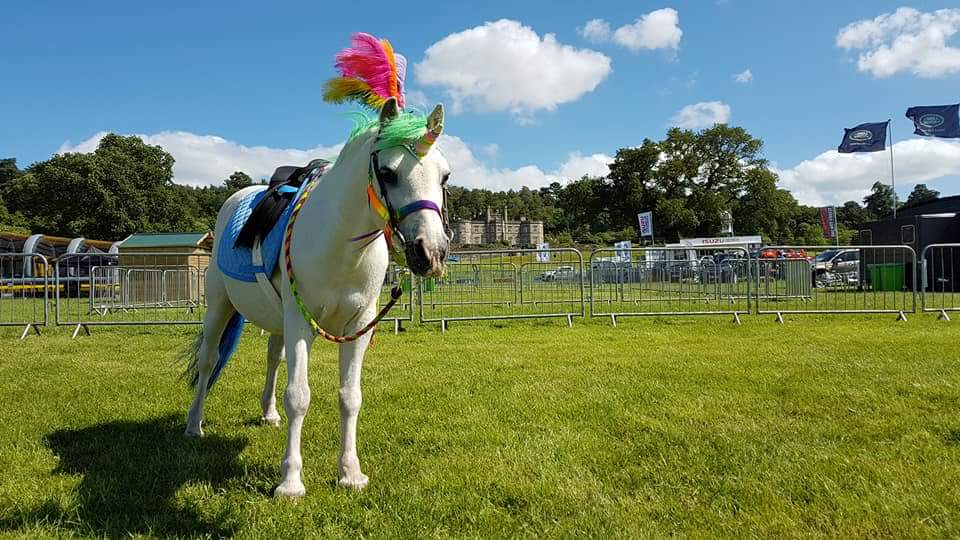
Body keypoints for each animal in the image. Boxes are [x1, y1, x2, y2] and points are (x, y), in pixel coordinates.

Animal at [183, 97, 450, 497]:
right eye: (387, 173)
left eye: (444, 176)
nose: (430, 253)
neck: (340, 246)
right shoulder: (300, 322)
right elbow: (299, 396)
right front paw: (290, 481)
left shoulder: (358, 327)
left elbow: (350, 397)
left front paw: (350, 473)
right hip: (219, 307)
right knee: (208, 361)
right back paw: (194, 425)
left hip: (277, 321)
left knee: (272, 358)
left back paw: (268, 413)